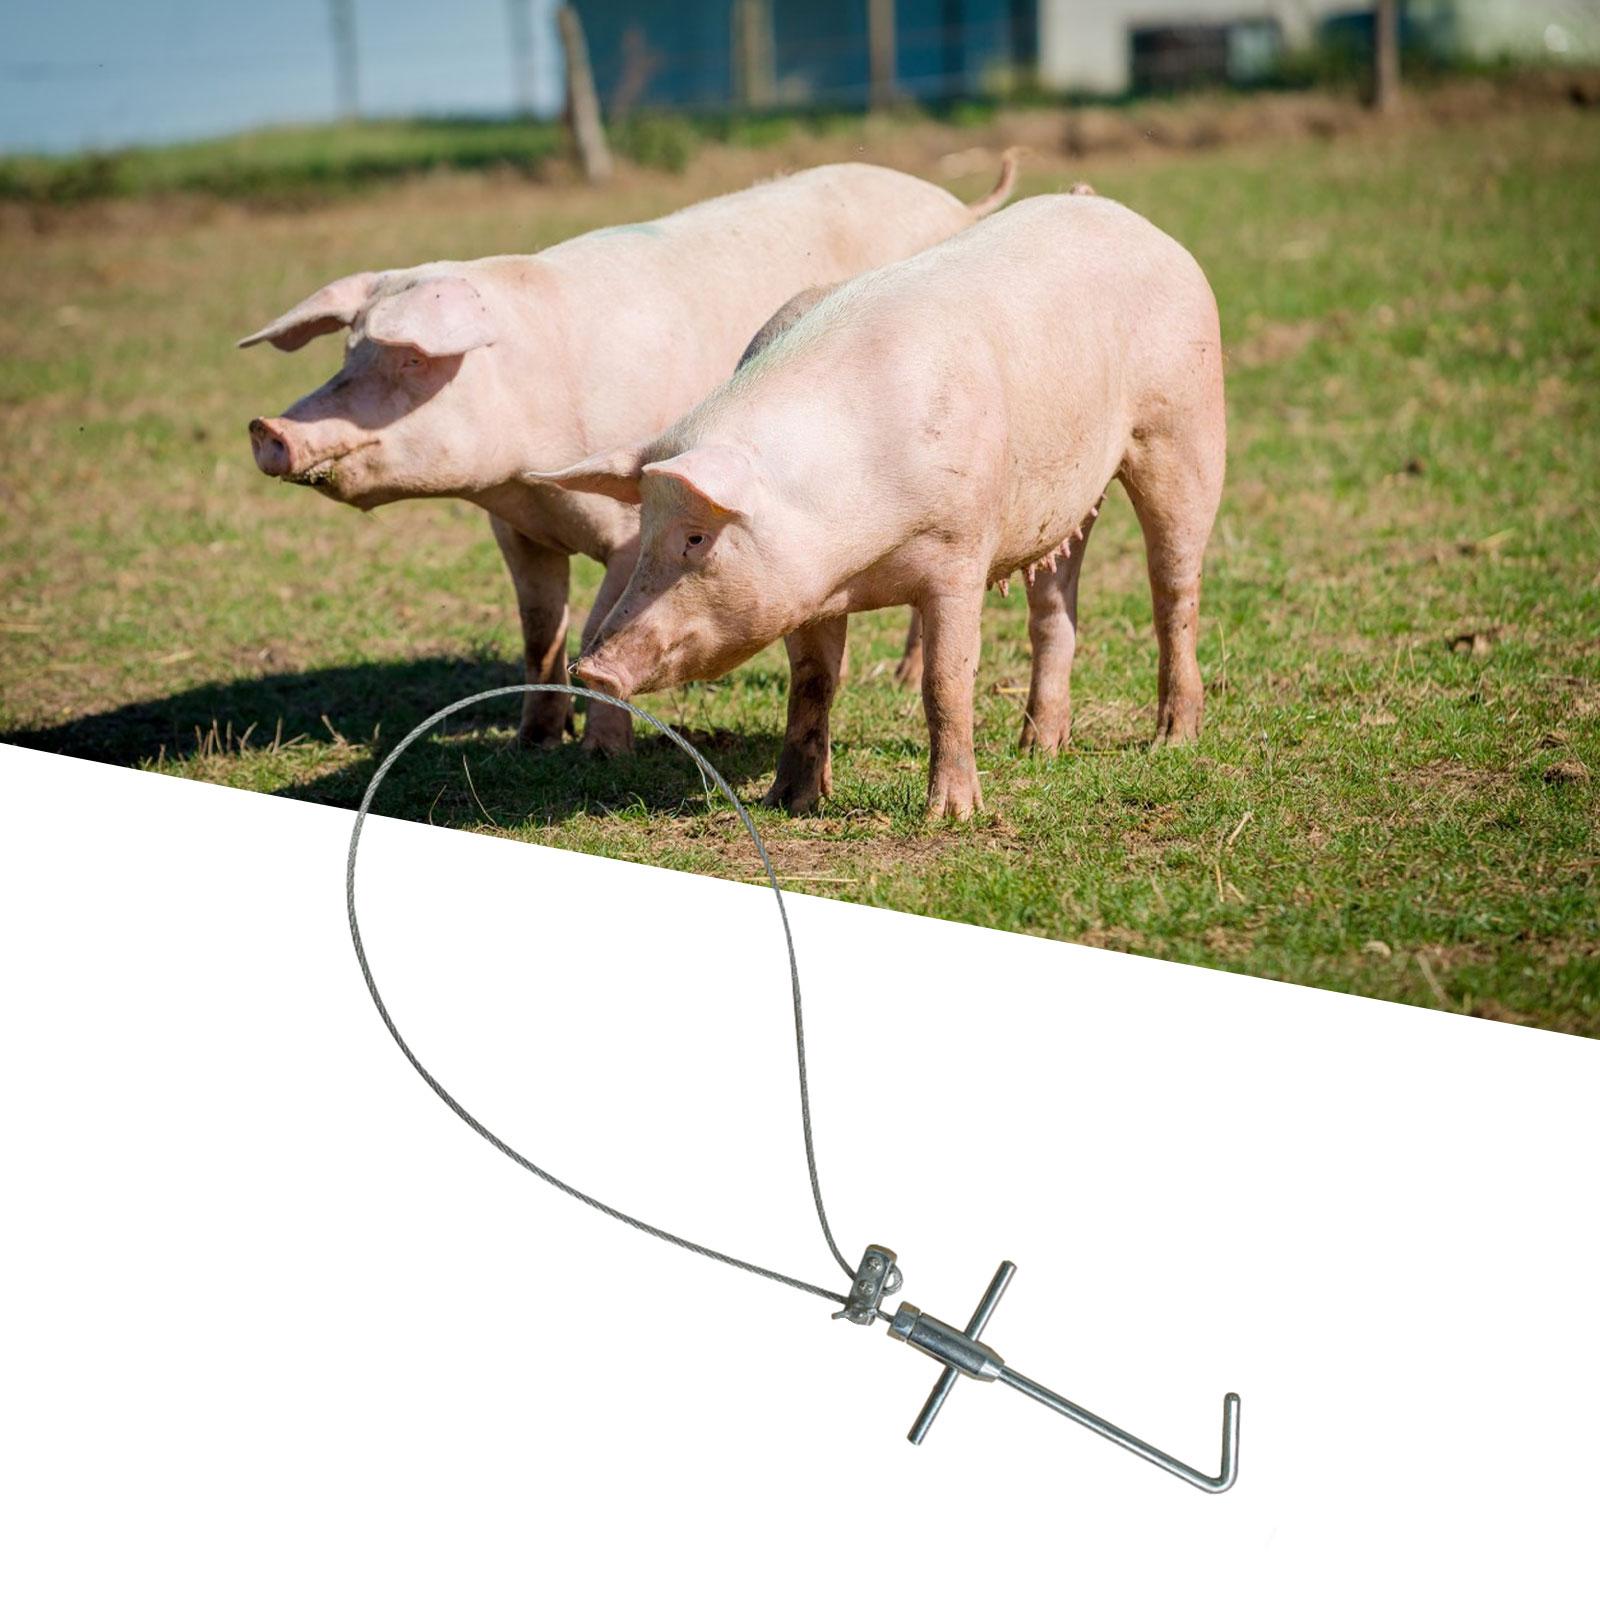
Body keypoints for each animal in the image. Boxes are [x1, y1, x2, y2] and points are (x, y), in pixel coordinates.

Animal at [239, 156, 1018, 756]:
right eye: (349, 351)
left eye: (409, 359)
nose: (267, 427)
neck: (527, 476)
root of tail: (954, 199)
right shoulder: (515, 530)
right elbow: (538, 631)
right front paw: (533, 741)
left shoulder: (627, 531)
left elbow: (592, 625)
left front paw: (602, 753)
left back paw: (899, 676)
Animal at [530, 190, 1225, 818]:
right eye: (645, 527)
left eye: (697, 537)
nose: (592, 669)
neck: (858, 552)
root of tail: (1122, 214)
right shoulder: (805, 589)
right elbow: (813, 682)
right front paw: (788, 802)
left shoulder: (959, 551)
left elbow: (946, 681)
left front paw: (951, 816)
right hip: (1065, 500)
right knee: (1054, 609)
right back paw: (1037, 749)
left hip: (1184, 427)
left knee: (1174, 584)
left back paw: (1172, 739)